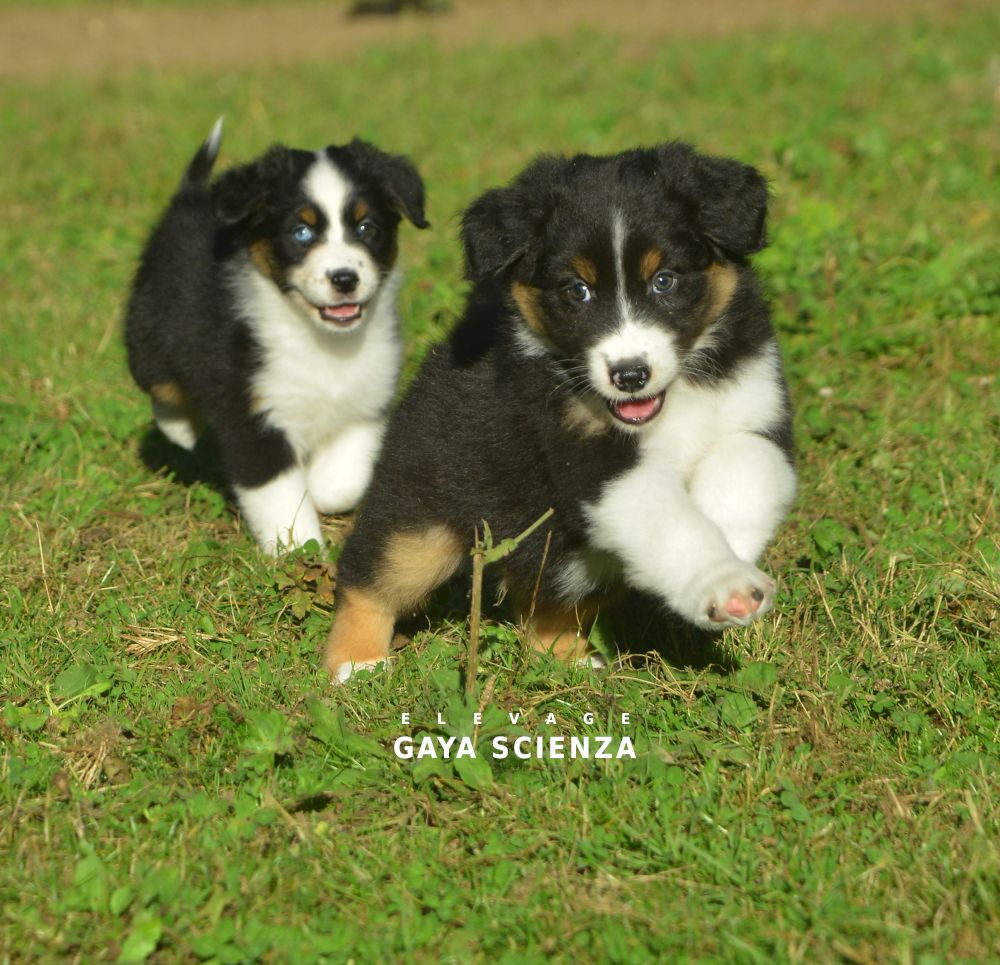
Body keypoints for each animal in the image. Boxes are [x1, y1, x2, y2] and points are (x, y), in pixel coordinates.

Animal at [124, 119, 428, 554]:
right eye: (301, 232)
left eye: (367, 227)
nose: (344, 279)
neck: (322, 342)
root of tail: (189, 197)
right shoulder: (253, 417)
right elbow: (281, 499)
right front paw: (298, 551)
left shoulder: (365, 403)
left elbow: (344, 483)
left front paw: (319, 486)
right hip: (148, 328)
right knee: (161, 385)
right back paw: (180, 428)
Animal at [323, 142, 796, 682]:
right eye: (577, 290)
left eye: (665, 280)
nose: (629, 375)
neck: (672, 400)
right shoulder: (589, 458)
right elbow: (670, 520)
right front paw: (723, 584)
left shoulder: (754, 413)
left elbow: (743, 477)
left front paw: (728, 555)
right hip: (425, 514)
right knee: (372, 574)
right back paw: (356, 662)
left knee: (543, 605)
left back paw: (570, 660)